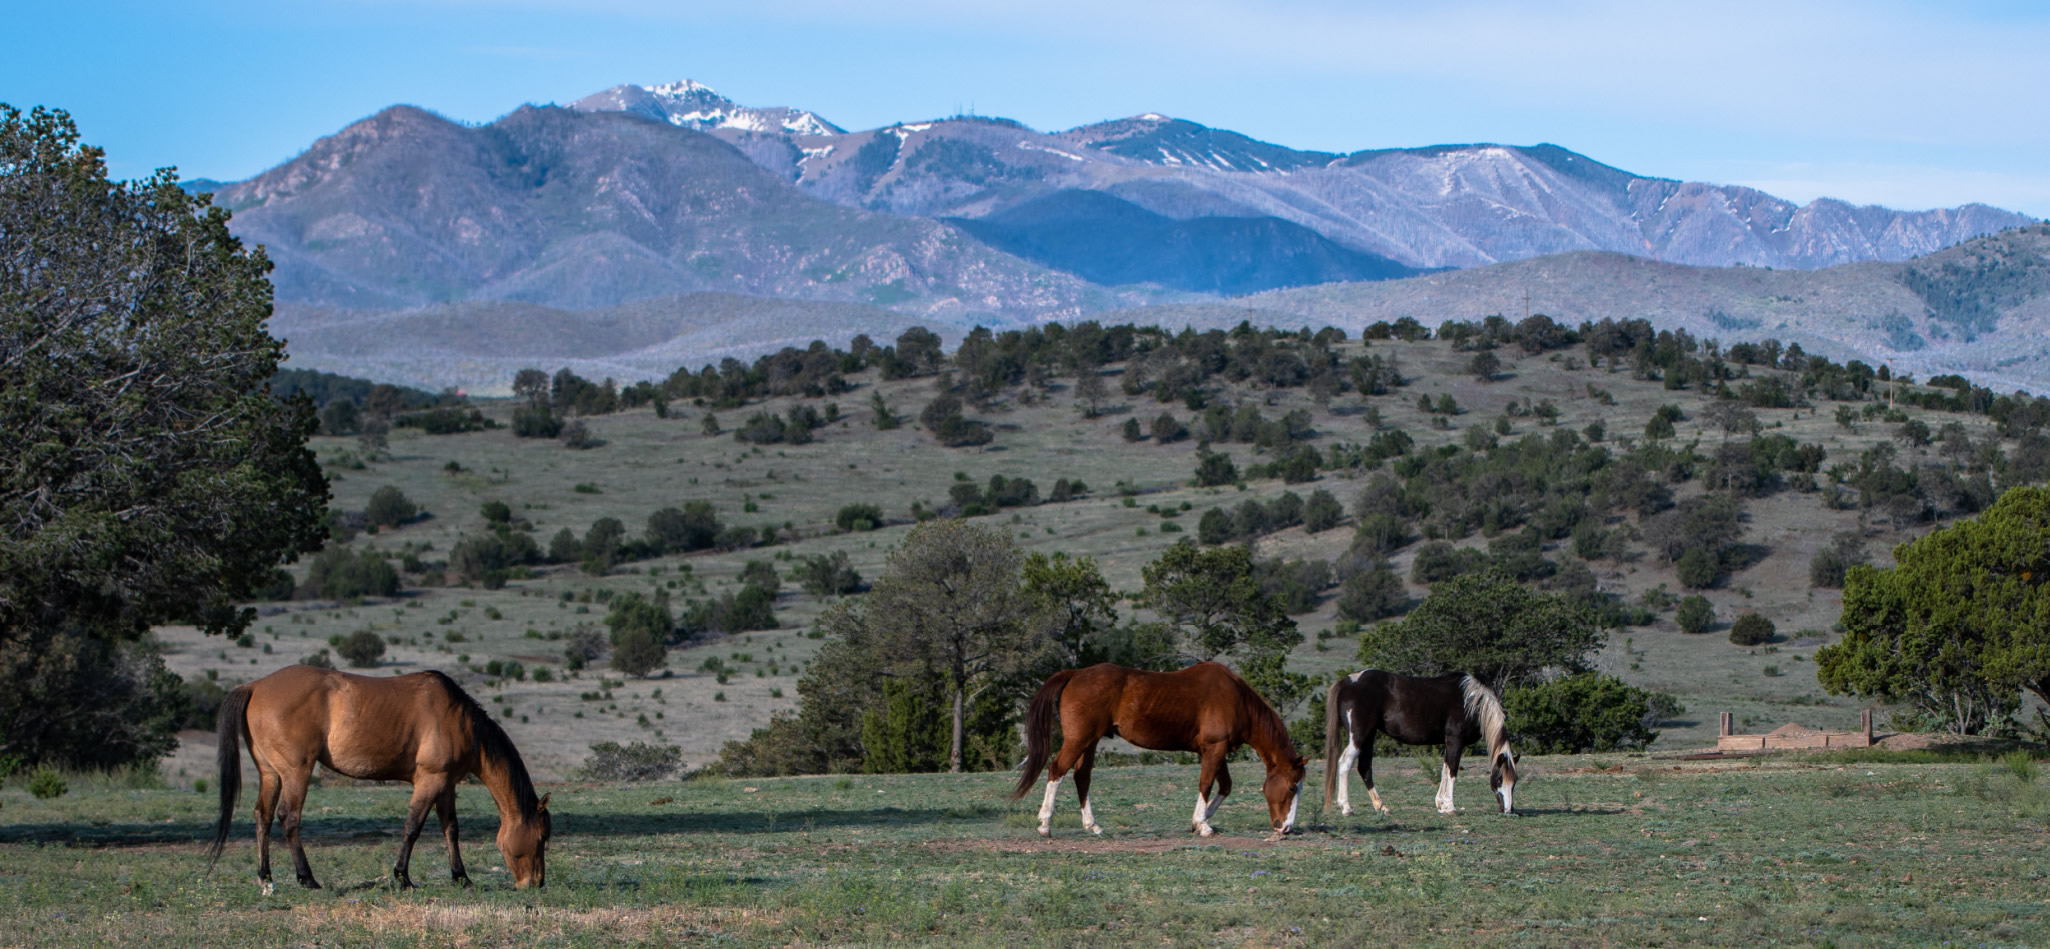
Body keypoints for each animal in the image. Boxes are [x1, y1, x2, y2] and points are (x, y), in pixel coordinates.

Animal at [205, 665, 551, 891]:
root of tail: (255, 686)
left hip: (271, 774)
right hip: (295, 772)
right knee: (288, 818)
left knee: (262, 816)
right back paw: (307, 878)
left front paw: (461, 877)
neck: (460, 720)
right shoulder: (429, 781)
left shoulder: (446, 785)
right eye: (542, 837)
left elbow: (450, 829)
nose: (536, 883)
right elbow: (413, 828)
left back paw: (266, 877)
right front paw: (403, 877)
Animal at [1012, 661, 1308, 839]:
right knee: (1057, 771)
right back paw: (1045, 824)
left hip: (1090, 742)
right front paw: (1203, 824)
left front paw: (1200, 820)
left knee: (1081, 777)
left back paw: (1092, 825)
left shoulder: (1215, 750)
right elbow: (1207, 784)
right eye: (1292, 787)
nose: (1286, 828)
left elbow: (1224, 786)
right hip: (1078, 739)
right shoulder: (1215, 748)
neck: (1236, 699)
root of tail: (1075, 673)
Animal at [1322, 669, 1518, 817]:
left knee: (1364, 768)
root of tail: (1347, 682)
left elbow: (1444, 770)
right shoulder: (1455, 740)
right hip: (1359, 736)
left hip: (1369, 736)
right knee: (1345, 763)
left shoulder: (1448, 743)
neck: (1469, 702)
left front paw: (1441, 804)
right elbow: (1452, 771)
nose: (1507, 810)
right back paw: (1346, 808)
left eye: (1515, 781)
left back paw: (1382, 807)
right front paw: (1450, 807)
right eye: (1500, 778)